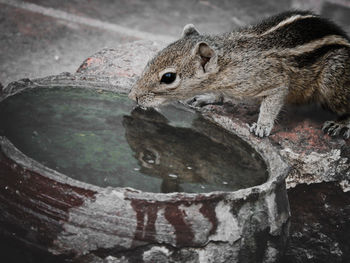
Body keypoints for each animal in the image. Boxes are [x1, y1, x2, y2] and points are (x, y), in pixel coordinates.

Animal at [129, 10, 350, 138]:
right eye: (152, 58)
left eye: (168, 78)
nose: (133, 96)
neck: (228, 62)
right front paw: (208, 98)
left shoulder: (273, 80)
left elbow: (273, 100)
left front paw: (262, 126)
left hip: (332, 78)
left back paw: (340, 124)